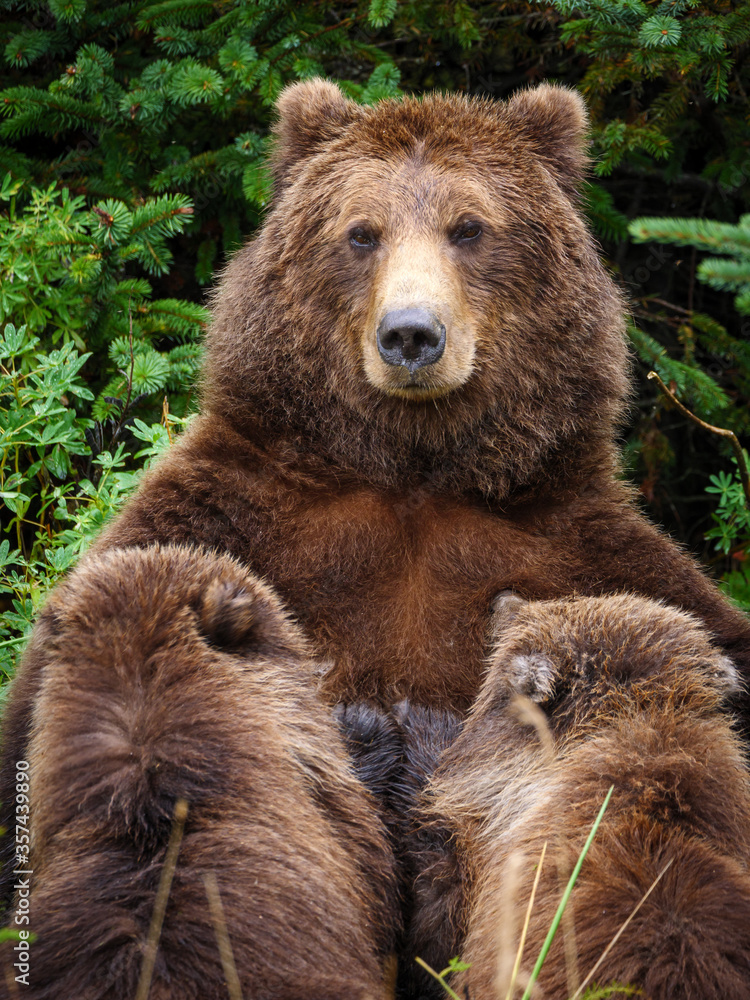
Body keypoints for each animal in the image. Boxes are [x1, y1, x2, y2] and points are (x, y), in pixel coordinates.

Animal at [1, 80, 750, 1000]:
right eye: (362, 231)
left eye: (470, 227)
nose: (412, 335)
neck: (411, 475)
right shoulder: (238, 518)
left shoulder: (571, 544)